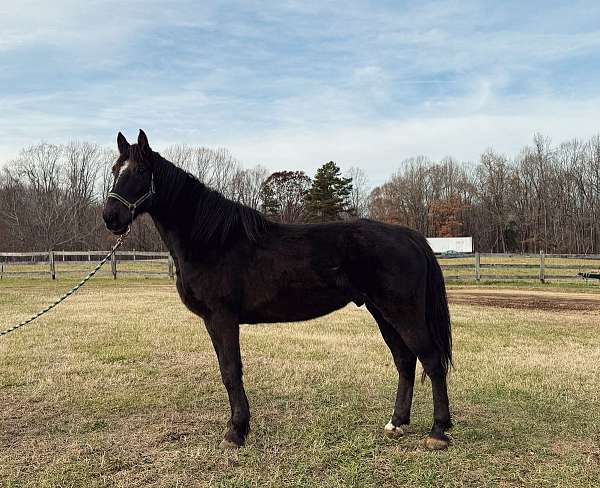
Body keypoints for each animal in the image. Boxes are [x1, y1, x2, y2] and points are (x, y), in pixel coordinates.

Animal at [103, 130, 452, 450]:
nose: (111, 217)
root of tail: (409, 236)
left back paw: (438, 433)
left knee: (432, 361)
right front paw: (238, 427)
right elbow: (226, 370)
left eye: (139, 171)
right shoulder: (212, 322)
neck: (213, 239)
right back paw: (396, 423)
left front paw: (236, 432)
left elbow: (231, 371)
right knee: (405, 361)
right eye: (115, 169)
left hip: (402, 313)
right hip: (382, 312)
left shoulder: (222, 318)